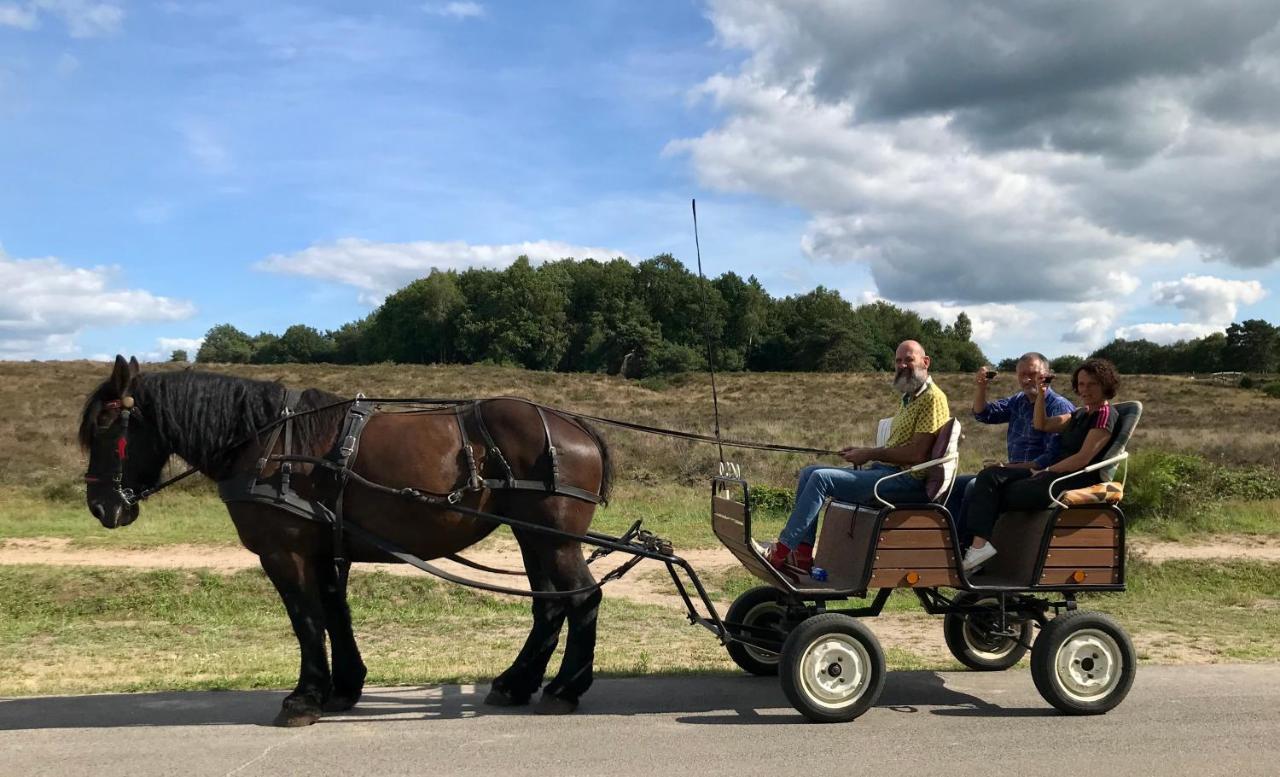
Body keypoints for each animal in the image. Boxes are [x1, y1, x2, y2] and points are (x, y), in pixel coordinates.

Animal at [82, 355, 611, 727]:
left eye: (105, 428)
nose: (102, 507)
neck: (269, 445)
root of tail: (575, 424)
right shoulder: (322, 549)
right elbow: (335, 614)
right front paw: (342, 688)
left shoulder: (285, 552)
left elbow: (306, 620)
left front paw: (304, 698)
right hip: (533, 535)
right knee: (551, 604)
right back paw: (517, 683)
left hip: (553, 538)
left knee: (583, 597)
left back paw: (564, 689)